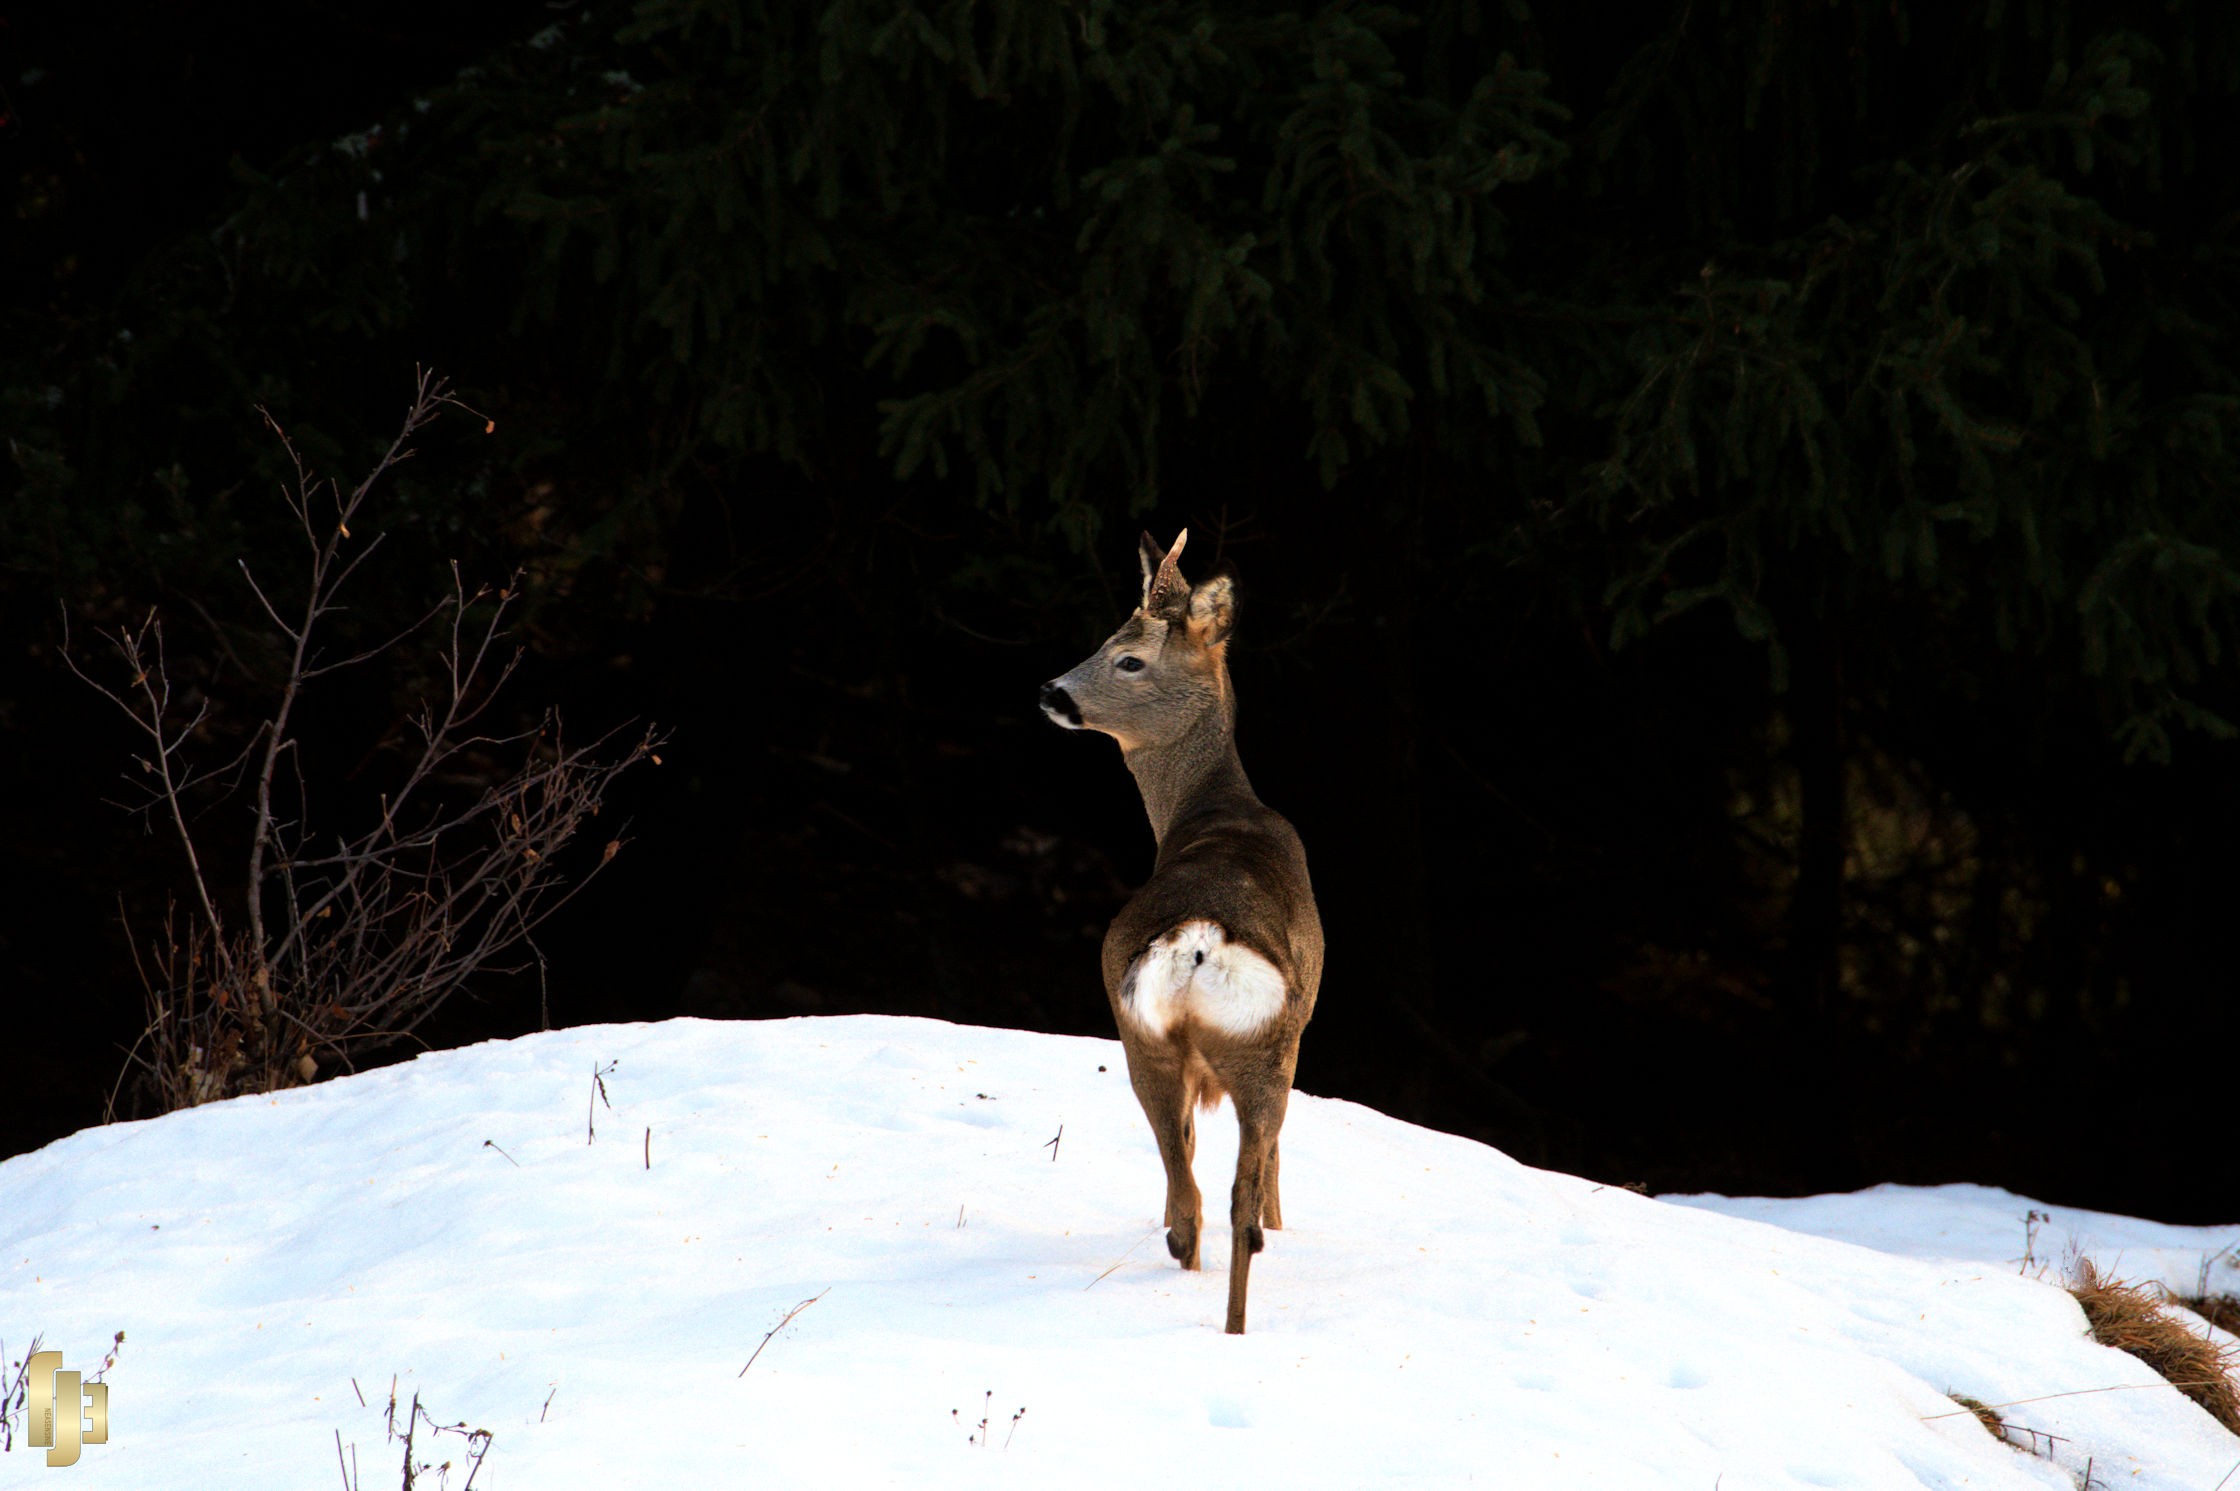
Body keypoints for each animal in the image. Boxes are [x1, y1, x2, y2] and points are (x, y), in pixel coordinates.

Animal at [1039, 528, 1317, 1325]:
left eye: (1127, 657)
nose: (1052, 691)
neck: (1208, 807)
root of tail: (1198, 941)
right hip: (1260, 1050)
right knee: (1233, 1206)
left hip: (1146, 1038)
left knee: (1196, 1195)